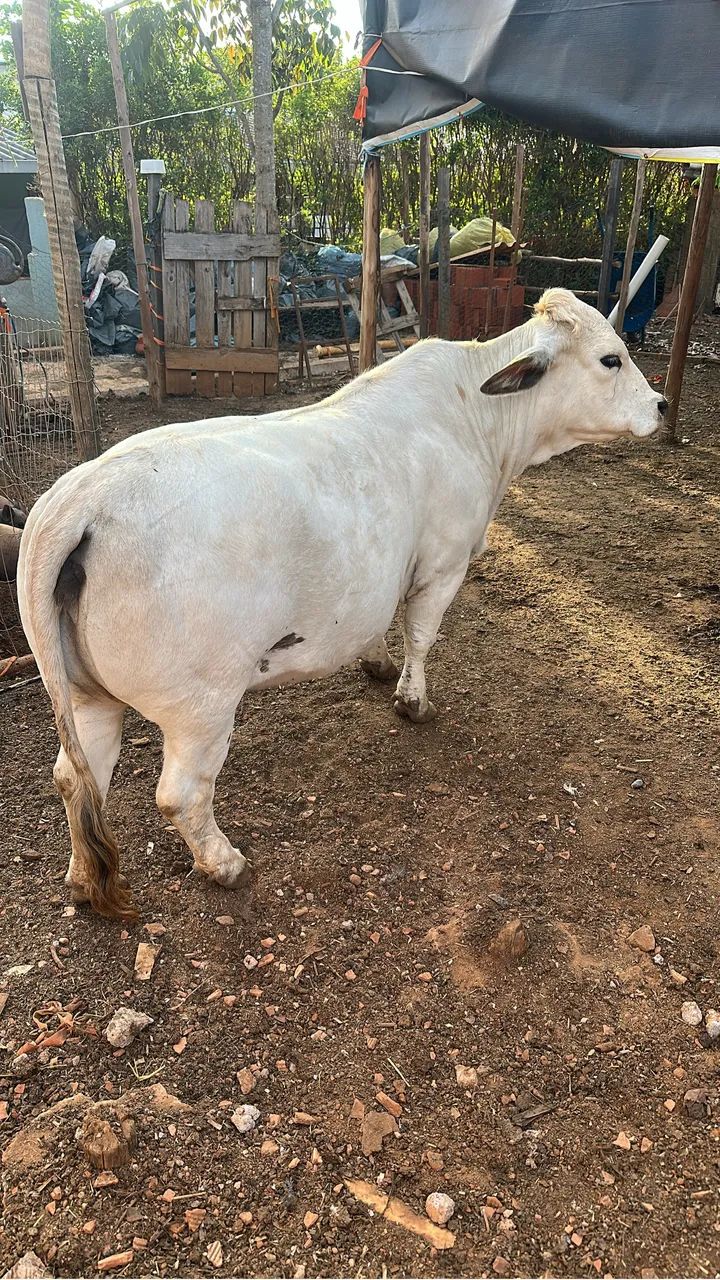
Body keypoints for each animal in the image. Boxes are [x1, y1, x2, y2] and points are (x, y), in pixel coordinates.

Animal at [17, 289, 667, 920]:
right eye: (611, 359)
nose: (661, 405)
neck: (475, 415)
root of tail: (81, 497)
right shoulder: (444, 563)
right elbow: (421, 636)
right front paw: (413, 701)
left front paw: (376, 664)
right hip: (200, 704)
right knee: (179, 794)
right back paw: (224, 863)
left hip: (85, 693)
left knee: (75, 778)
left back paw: (82, 880)